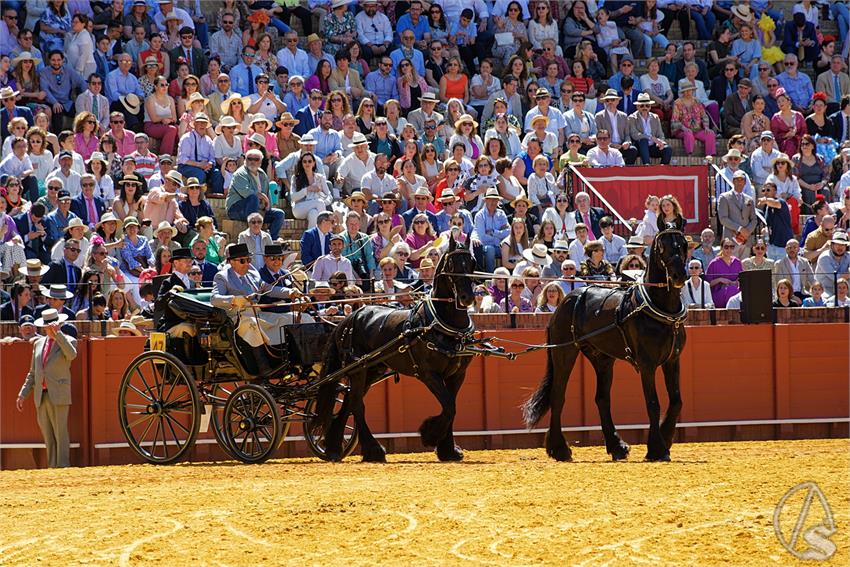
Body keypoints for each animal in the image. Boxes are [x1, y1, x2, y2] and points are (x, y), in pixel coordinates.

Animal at [316, 237, 476, 464]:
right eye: (452, 265)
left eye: (471, 264)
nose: (466, 297)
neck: (441, 323)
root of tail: (351, 317)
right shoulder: (429, 374)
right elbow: (448, 407)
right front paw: (430, 435)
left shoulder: (457, 374)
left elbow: (452, 407)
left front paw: (449, 450)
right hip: (358, 370)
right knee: (356, 404)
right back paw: (373, 450)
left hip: (372, 371)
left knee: (348, 403)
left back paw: (333, 448)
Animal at [520, 217, 684, 462]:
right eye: (662, 246)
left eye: (683, 243)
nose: (679, 276)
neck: (661, 310)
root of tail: (567, 300)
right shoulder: (647, 364)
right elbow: (653, 404)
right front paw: (657, 448)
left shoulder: (672, 361)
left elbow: (676, 401)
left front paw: (665, 438)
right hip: (564, 353)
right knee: (558, 396)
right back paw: (560, 449)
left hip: (602, 359)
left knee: (602, 399)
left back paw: (617, 446)